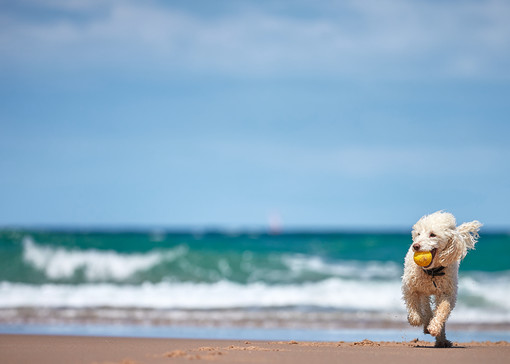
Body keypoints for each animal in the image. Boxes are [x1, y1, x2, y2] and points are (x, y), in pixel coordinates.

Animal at [402, 212, 482, 348]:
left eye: (432, 234)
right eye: (418, 234)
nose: (415, 246)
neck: (432, 272)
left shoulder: (447, 293)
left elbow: (443, 310)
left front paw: (434, 327)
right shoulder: (410, 287)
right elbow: (413, 304)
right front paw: (416, 319)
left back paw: (441, 339)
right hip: (423, 291)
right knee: (425, 306)